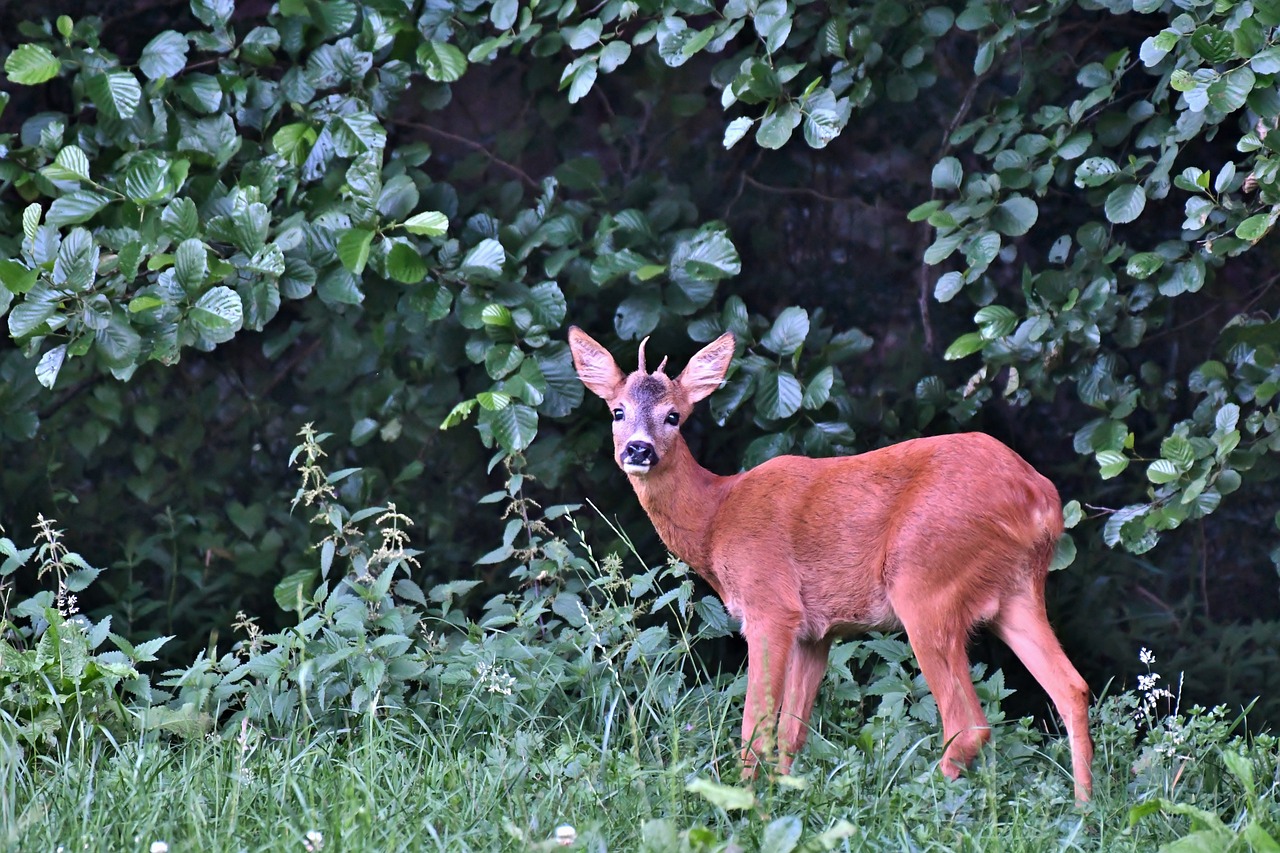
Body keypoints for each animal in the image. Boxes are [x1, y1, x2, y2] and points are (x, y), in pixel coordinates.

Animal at [567, 325, 1094, 802]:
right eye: (617, 411)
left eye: (674, 415)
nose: (639, 449)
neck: (716, 516)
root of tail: (1041, 498)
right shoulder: (815, 632)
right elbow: (790, 733)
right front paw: (781, 801)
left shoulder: (770, 604)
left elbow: (756, 725)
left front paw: (743, 805)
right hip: (1016, 591)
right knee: (1072, 688)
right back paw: (1084, 807)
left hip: (925, 582)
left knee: (969, 723)